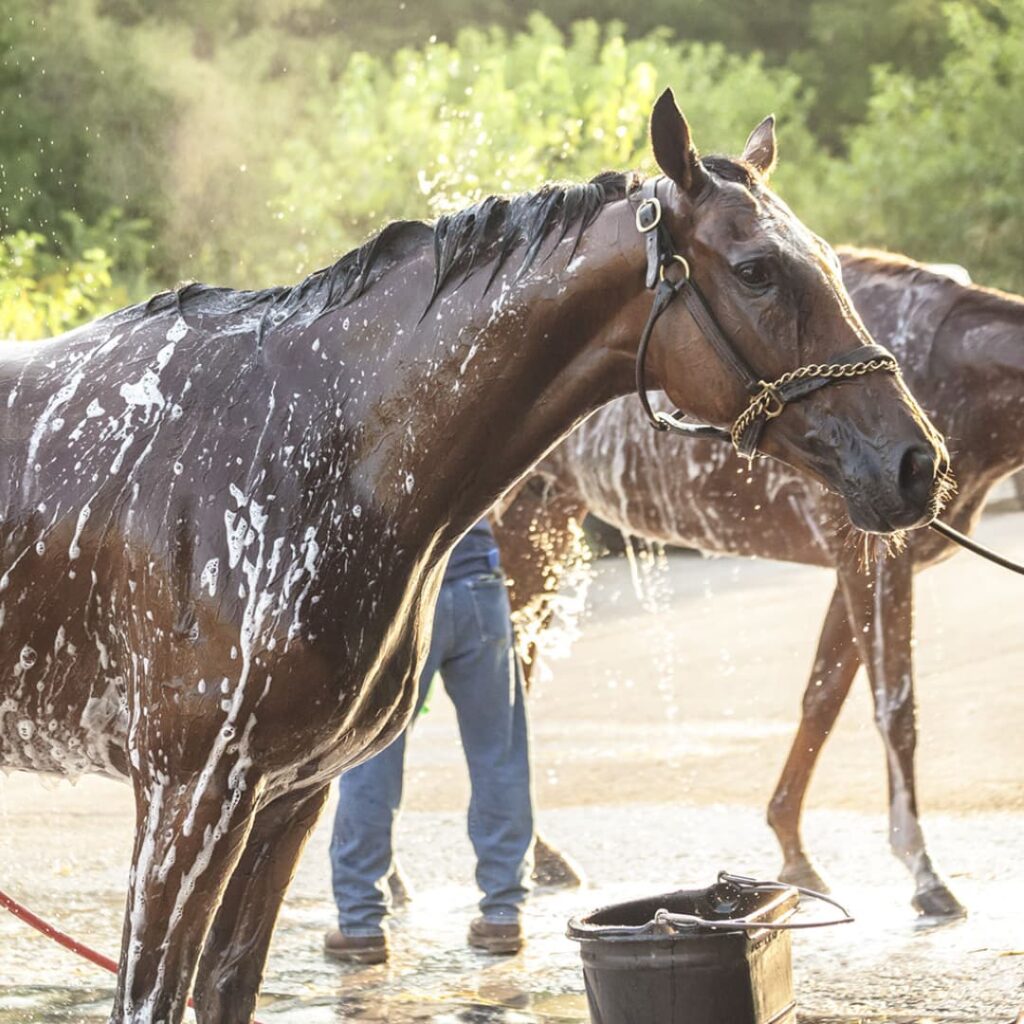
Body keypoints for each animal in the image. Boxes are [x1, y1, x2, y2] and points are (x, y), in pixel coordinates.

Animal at [0, 90, 950, 1024]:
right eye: (757, 269)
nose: (917, 463)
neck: (303, 438)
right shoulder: (188, 800)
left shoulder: (284, 799)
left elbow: (227, 985)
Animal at [495, 245, 1024, 921]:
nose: (917, 467)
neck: (948, 369)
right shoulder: (879, 565)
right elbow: (895, 709)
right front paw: (924, 873)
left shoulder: (853, 570)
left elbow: (821, 699)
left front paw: (793, 851)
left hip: (548, 523)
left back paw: (539, 857)